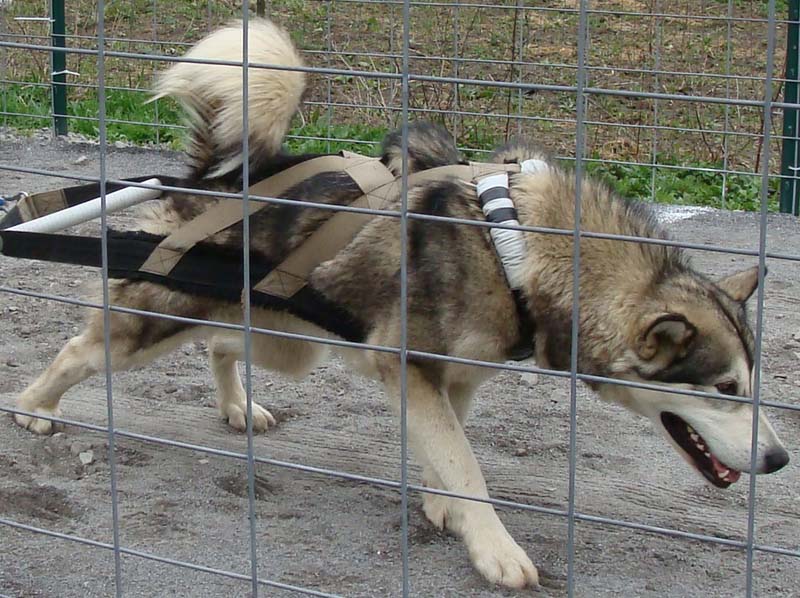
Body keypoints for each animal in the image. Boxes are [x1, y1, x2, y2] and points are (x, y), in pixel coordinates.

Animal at [12, 17, 788, 592]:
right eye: (725, 389)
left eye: (752, 387)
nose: (779, 460)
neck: (518, 245)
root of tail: (220, 177)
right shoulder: (410, 368)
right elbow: (466, 464)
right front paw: (495, 548)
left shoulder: (455, 377)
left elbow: (450, 448)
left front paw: (441, 503)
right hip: (157, 322)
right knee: (82, 350)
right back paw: (34, 407)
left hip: (287, 341)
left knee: (224, 342)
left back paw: (236, 406)